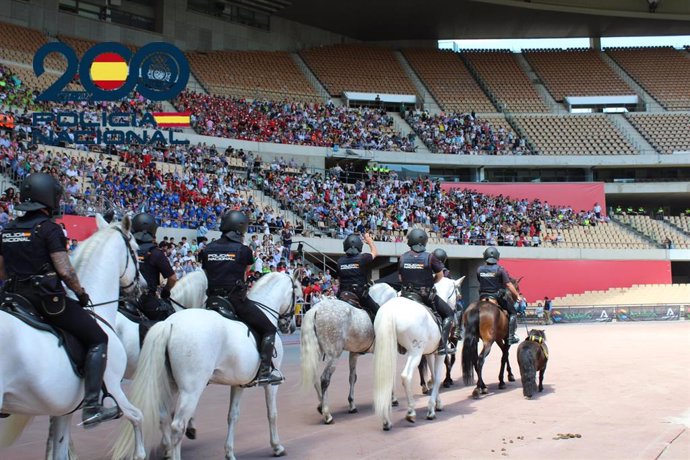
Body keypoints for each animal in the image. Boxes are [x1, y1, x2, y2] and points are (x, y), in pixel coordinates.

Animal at [0, 217, 148, 460]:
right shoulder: (115, 389)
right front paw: (139, 453)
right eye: (135, 250)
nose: (143, 287)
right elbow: (138, 416)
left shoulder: (62, 411)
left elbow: (58, 450)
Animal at [111, 274, 300, 460]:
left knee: (164, 416)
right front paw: (277, 446)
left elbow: (233, 416)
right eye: (297, 296)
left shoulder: (238, 384)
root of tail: (169, 324)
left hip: (169, 384)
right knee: (177, 426)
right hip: (191, 389)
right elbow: (272, 413)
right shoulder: (271, 385)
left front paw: (229, 452)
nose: (289, 326)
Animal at [300, 284, 398, 424]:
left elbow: (352, 377)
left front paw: (352, 404)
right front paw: (393, 398)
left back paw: (321, 406)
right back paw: (327, 414)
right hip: (334, 355)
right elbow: (389, 373)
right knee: (325, 379)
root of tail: (316, 309)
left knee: (315, 377)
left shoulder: (354, 354)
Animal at [370, 276, 462, 432]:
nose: (456, 317)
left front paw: (437, 403)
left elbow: (432, 375)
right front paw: (431, 409)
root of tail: (391, 310)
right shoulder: (440, 353)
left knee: (387, 378)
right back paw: (411, 412)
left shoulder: (430, 353)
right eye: (458, 295)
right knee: (406, 376)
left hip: (388, 349)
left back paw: (386, 420)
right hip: (415, 353)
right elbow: (437, 377)